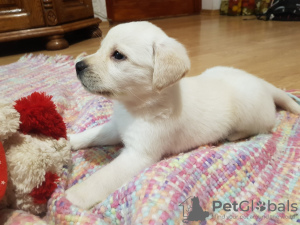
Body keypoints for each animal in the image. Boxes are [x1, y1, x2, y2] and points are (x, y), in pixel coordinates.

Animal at [65, 21, 300, 209]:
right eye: (101, 47)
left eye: (118, 55)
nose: (77, 65)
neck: (136, 106)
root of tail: (263, 83)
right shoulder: (116, 127)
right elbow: (93, 134)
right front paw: (68, 141)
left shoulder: (139, 154)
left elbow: (104, 177)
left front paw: (74, 196)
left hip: (249, 111)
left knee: (264, 126)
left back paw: (233, 135)